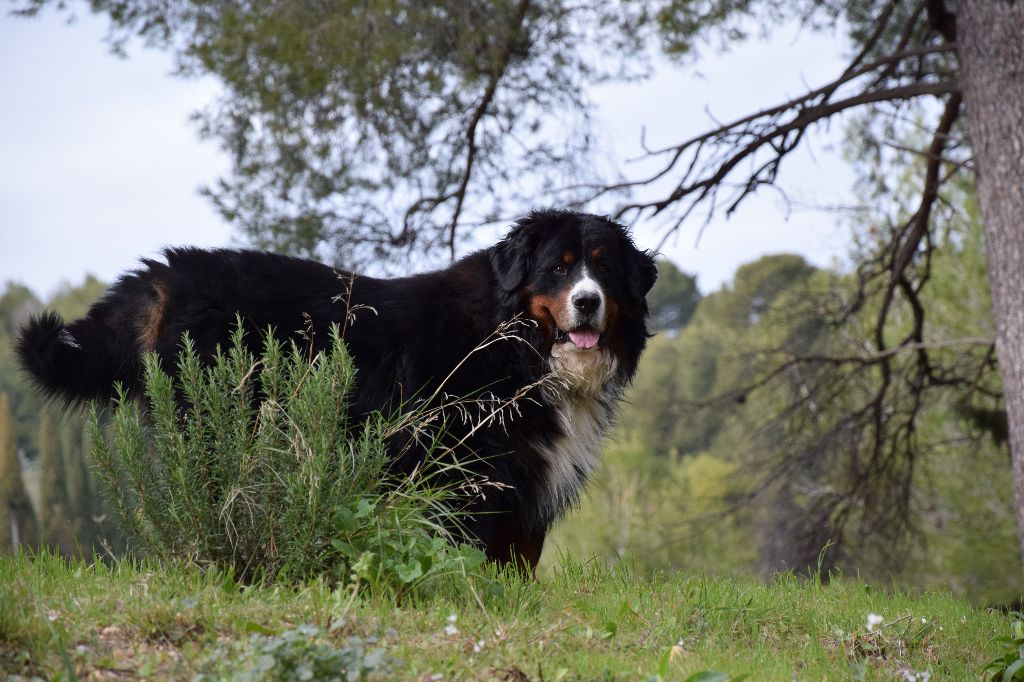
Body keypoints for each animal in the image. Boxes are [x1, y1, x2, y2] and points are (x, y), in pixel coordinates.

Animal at [16, 209, 655, 569]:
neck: (514, 341)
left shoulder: (525, 482)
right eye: (558, 268)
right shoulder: (468, 473)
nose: (588, 301)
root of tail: (164, 275)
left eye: (602, 267)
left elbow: (517, 564)